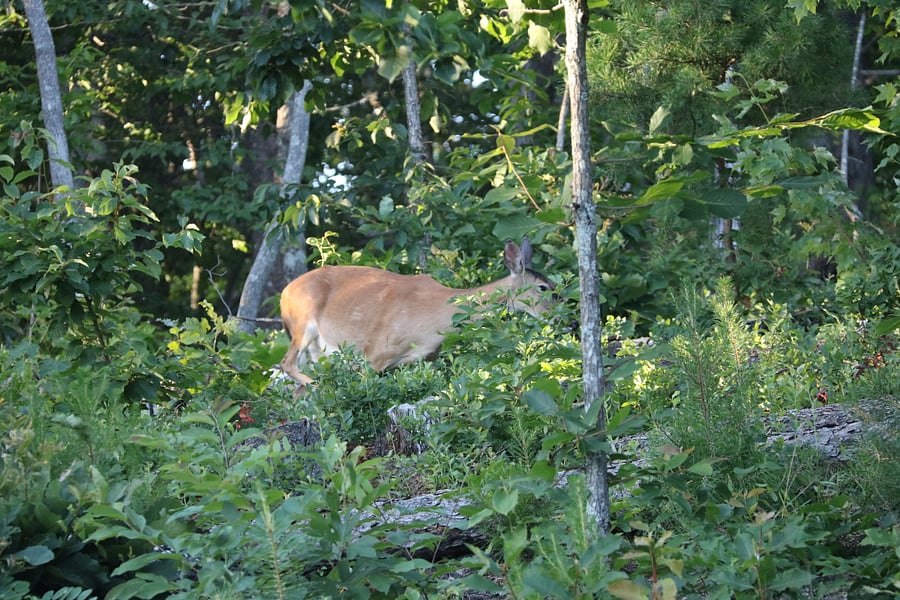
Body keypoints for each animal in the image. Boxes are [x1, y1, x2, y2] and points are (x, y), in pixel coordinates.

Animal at [278, 239, 555, 388]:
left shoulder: (424, 359)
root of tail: (284, 293)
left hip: (318, 349)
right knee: (287, 364)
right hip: (301, 324)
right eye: (543, 288)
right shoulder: (374, 352)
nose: (557, 315)